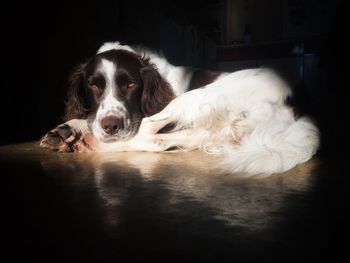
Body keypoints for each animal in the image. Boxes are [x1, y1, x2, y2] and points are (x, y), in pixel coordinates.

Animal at [40, 42, 320, 176]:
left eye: (131, 84)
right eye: (93, 85)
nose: (111, 126)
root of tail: (302, 102)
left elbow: (137, 127)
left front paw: (79, 133)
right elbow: (91, 117)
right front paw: (65, 129)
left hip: (197, 97)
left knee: (148, 134)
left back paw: (91, 144)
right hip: (212, 132)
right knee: (160, 141)